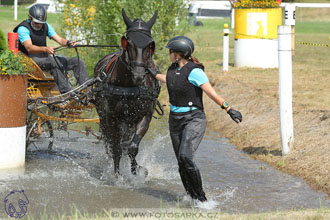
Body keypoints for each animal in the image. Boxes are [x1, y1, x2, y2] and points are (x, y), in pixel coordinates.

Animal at [93, 9, 160, 176]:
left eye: (150, 45)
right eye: (128, 43)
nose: (138, 75)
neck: (129, 86)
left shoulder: (144, 116)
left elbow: (132, 147)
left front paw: (137, 171)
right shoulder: (111, 118)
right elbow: (116, 147)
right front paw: (117, 175)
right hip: (104, 117)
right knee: (110, 142)